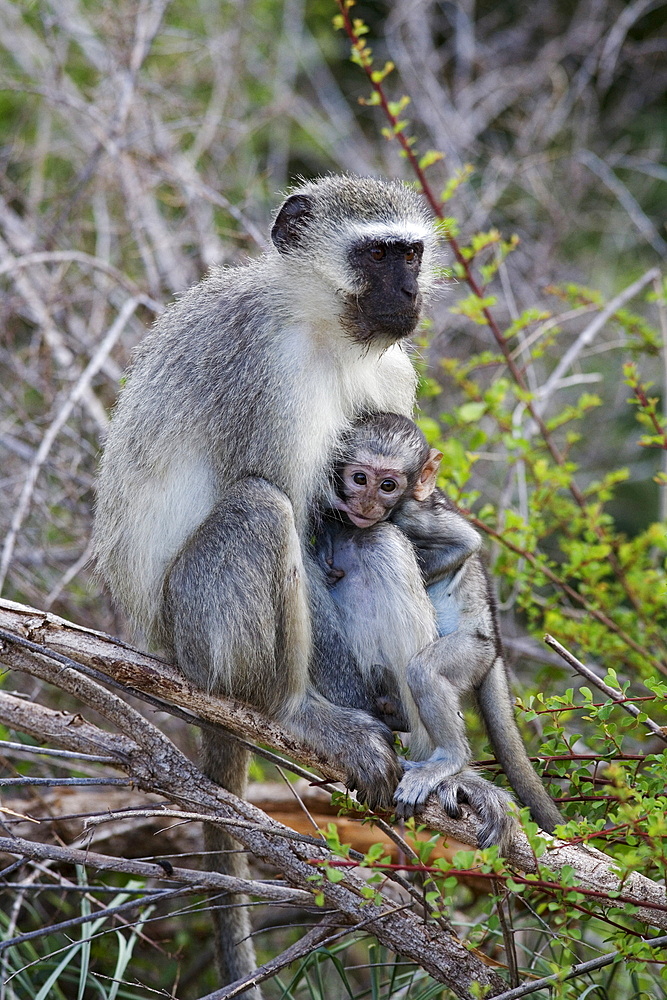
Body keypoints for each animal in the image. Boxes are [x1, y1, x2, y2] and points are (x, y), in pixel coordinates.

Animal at [92, 176, 512, 988]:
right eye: (376, 255)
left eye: (410, 253)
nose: (408, 292)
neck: (322, 328)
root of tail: (157, 646)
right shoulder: (265, 372)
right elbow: (300, 515)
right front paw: (347, 726)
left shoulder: (392, 371)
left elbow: (395, 523)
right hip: (198, 635)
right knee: (265, 507)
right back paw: (298, 710)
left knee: (374, 542)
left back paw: (434, 755)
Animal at [318, 412, 564, 836]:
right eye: (359, 479)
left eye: (388, 485)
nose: (367, 504)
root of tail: (495, 645)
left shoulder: (412, 515)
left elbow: (466, 543)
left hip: (472, 648)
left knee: (425, 671)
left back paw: (449, 759)